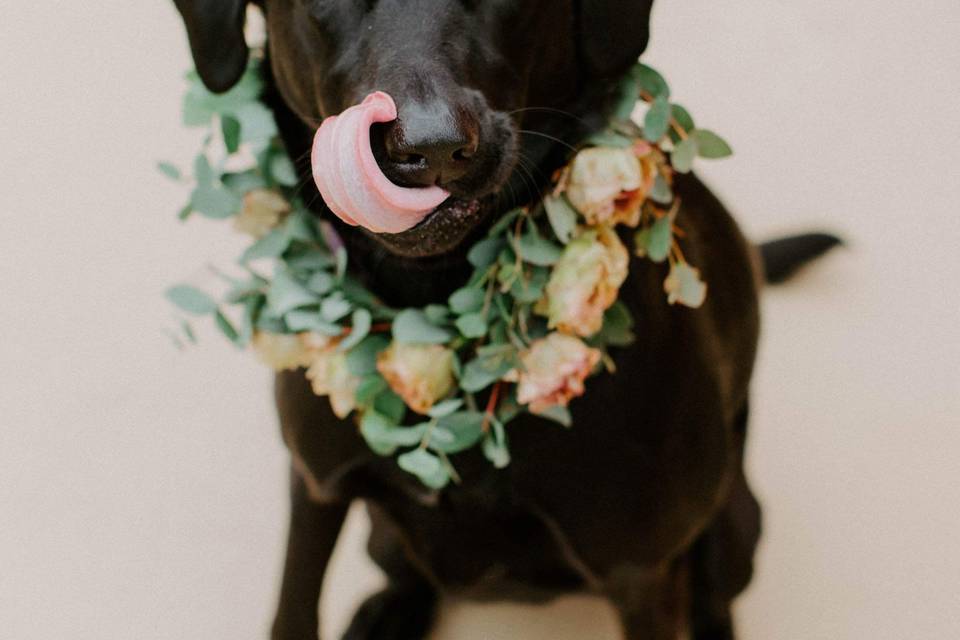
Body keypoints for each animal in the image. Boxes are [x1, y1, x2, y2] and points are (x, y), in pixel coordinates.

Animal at [172, 2, 840, 636]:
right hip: (382, 537)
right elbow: (292, 610)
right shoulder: (316, 483)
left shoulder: (642, 571)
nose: (431, 147)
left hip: (734, 525)